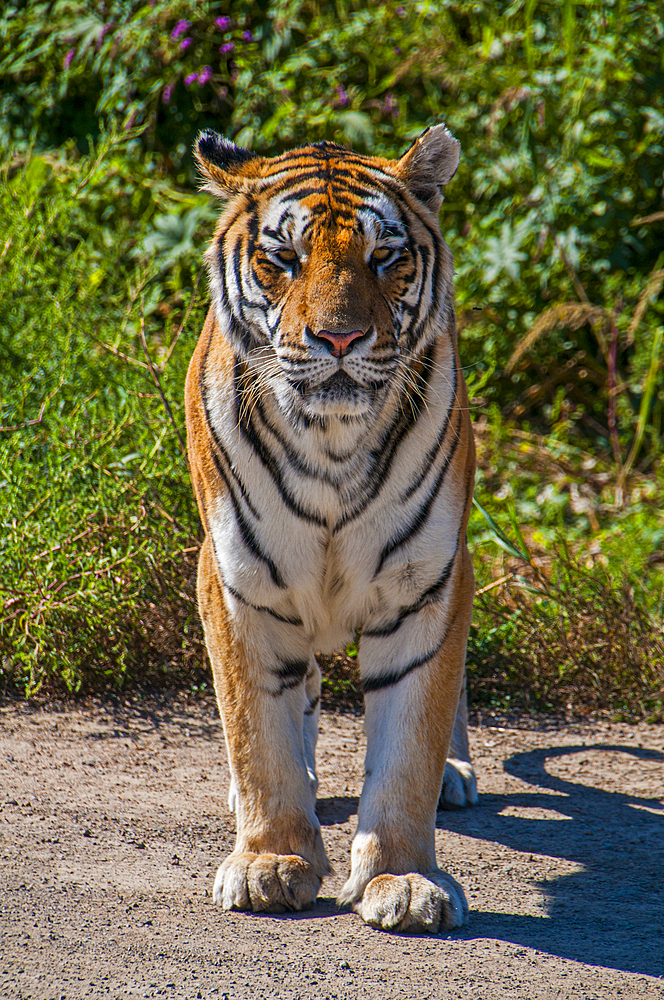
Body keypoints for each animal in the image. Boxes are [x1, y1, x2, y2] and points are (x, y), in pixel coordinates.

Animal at [183, 123, 478, 928]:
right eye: (283, 260)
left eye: (385, 258)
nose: (340, 340)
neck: (332, 443)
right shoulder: (238, 586)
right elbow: (259, 734)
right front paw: (270, 862)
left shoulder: (428, 584)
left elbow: (410, 747)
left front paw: (404, 879)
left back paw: (457, 773)